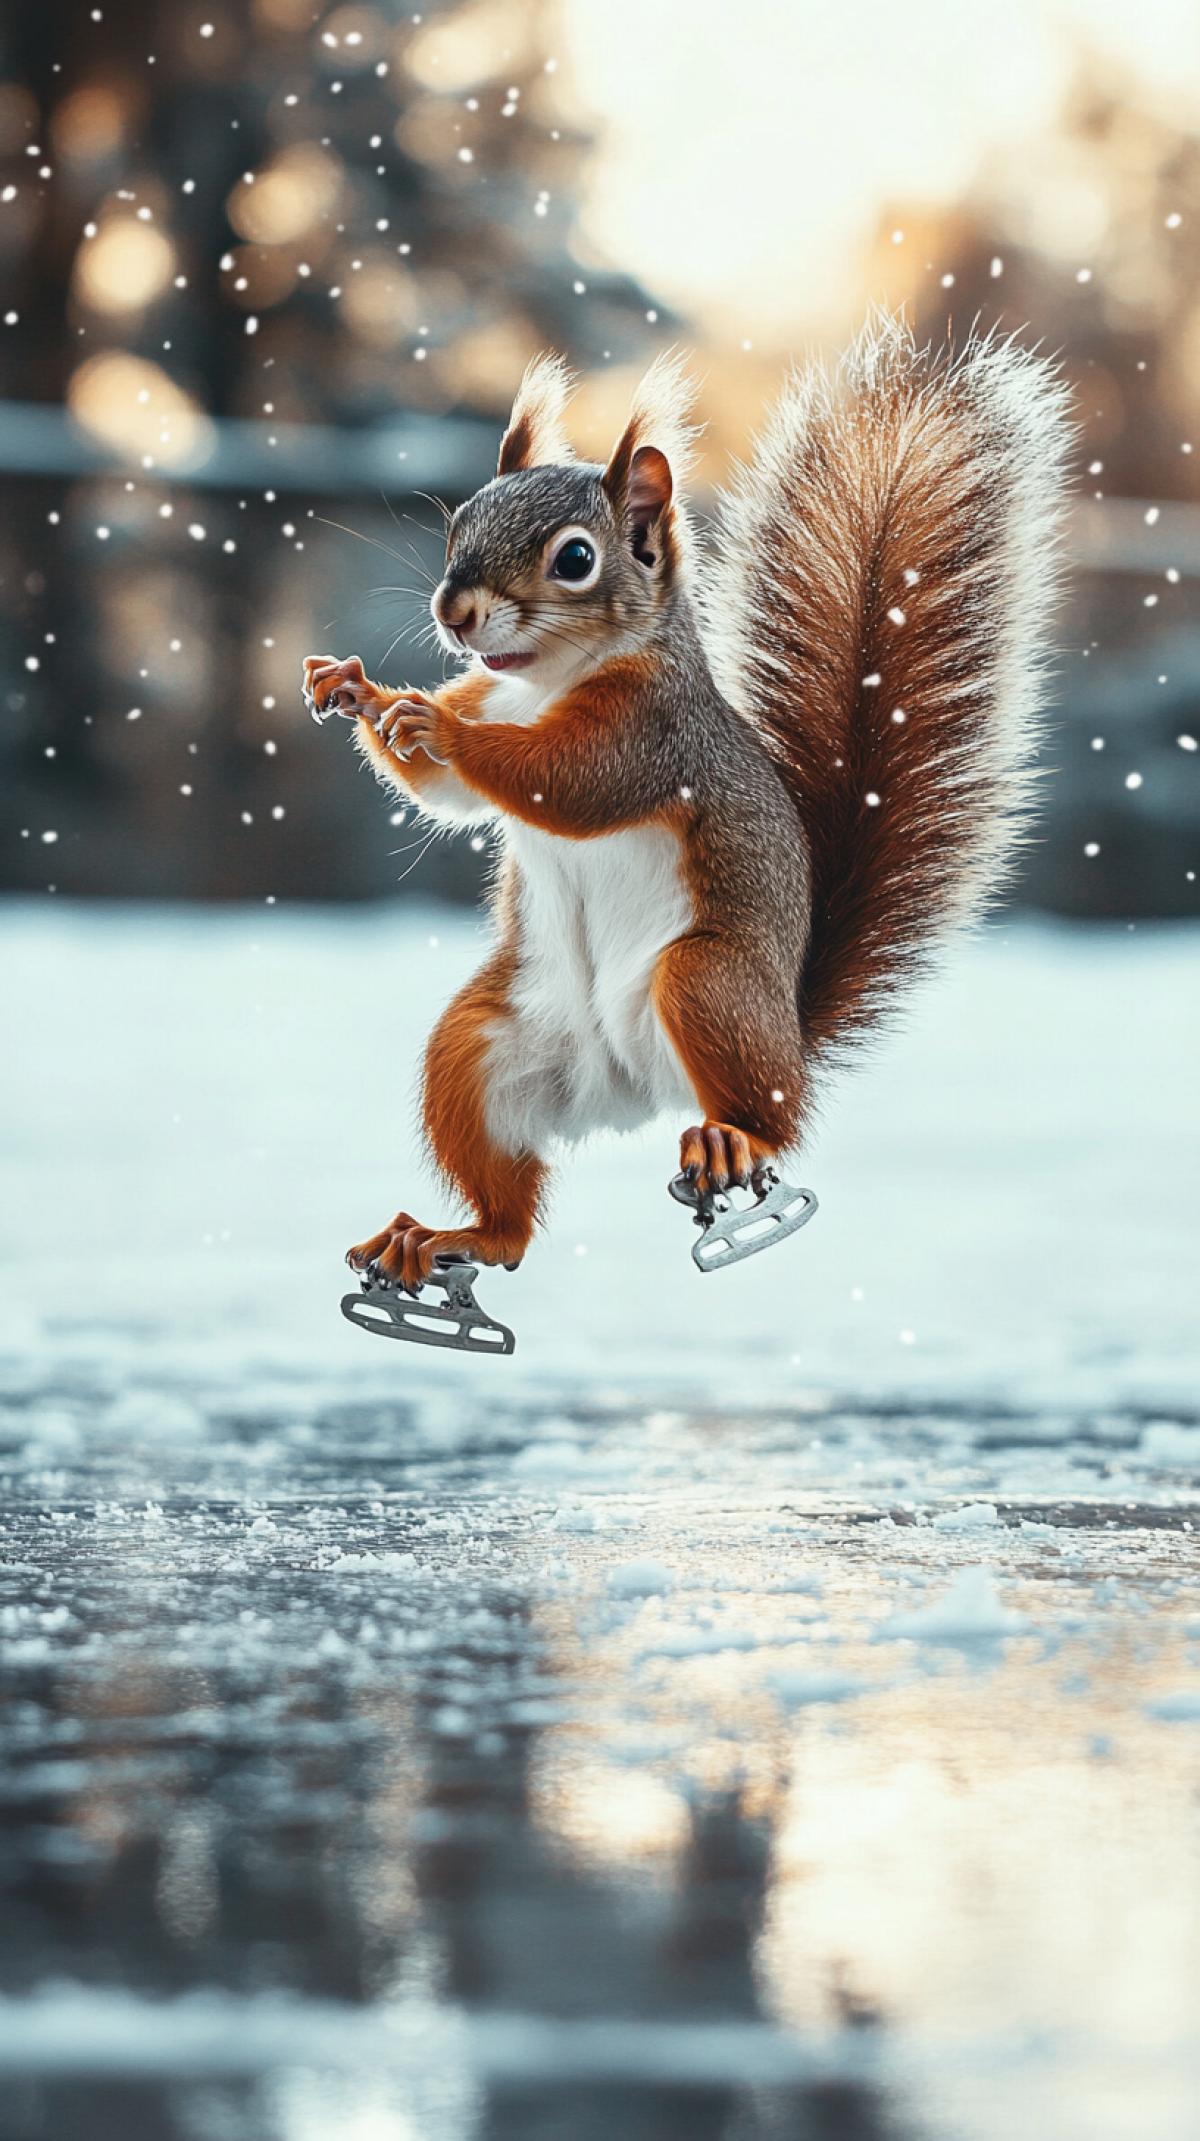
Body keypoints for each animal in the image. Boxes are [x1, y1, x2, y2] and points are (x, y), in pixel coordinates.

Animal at [302, 313, 1071, 1291]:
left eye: (576, 558)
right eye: (461, 522)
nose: (455, 610)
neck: (544, 684)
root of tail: (632, 1092)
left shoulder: (651, 738)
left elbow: (565, 782)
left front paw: (432, 724)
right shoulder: (497, 694)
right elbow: (444, 795)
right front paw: (356, 689)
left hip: (706, 981)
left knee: (774, 1120)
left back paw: (731, 1139)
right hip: (479, 1046)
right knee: (510, 1217)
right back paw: (449, 1236)